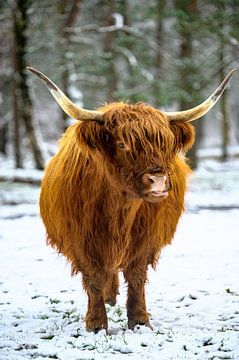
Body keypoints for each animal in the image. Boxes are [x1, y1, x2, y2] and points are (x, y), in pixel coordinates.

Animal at [27, 67, 235, 332]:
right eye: (122, 144)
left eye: (166, 144)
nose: (158, 180)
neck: (119, 208)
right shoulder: (80, 240)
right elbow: (93, 278)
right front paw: (96, 323)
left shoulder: (146, 239)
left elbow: (136, 277)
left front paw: (139, 321)